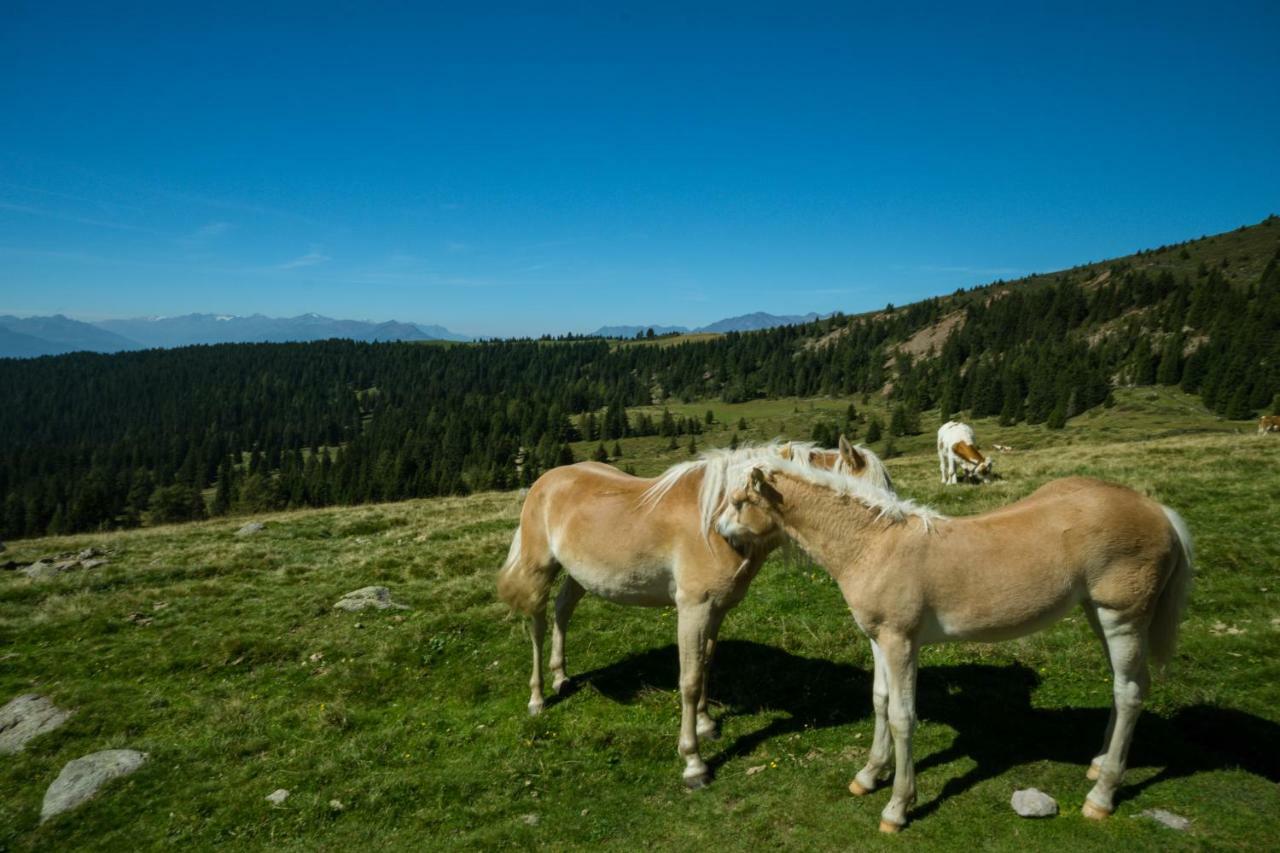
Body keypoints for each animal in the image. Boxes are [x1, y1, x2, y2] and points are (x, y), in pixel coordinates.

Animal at [494, 435, 896, 788]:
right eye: (870, 501)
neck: (717, 523)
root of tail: (546, 480)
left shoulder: (716, 610)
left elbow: (705, 665)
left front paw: (705, 724)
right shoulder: (692, 610)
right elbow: (688, 681)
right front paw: (693, 762)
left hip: (581, 575)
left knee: (563, 610)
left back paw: (561, 676)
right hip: (538, 567)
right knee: (538, 624)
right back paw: (538, 697)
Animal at [716, 458, 1192, 829]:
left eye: (740, 501)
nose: (720, 533)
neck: (874, 546)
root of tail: (1158, 510)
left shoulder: (901, 643)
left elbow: (902, 717)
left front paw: (897, 807)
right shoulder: (878, 640)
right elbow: (879, 701)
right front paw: (869, 776)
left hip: (1121, 618)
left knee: (1130, 693)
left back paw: (1102, 796)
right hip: (1097, 614)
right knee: (1122, 685)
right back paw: (1097, 764)